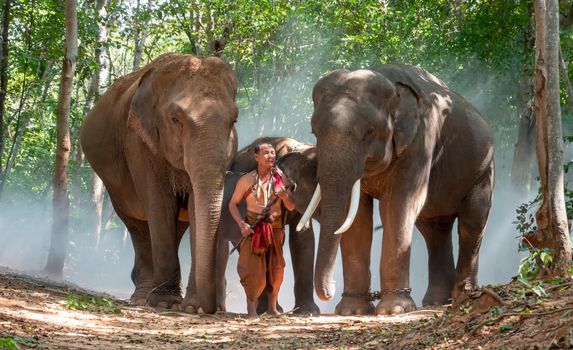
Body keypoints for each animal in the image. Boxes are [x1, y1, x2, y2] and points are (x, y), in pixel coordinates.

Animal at [79, 53, 238, 314]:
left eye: (234, 120)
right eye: (175, 119)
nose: (211, 309)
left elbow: (195, 209)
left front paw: (191, 307)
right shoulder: (139, 143)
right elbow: (161, 206)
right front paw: (165, 303)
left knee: (176, 226)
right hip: (115, 185)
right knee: (138, 227)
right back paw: (141, 297)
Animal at [298, 64, 494, 316]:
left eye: (369, 132)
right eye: (314, 132)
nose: (330, 288)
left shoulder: (420, 142)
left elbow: (397, 206)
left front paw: (394, 310)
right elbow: (358, 218)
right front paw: (352, 311)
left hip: (483, 170)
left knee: (472, 223)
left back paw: (463, 295)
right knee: (434, 232)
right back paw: (437, 301)